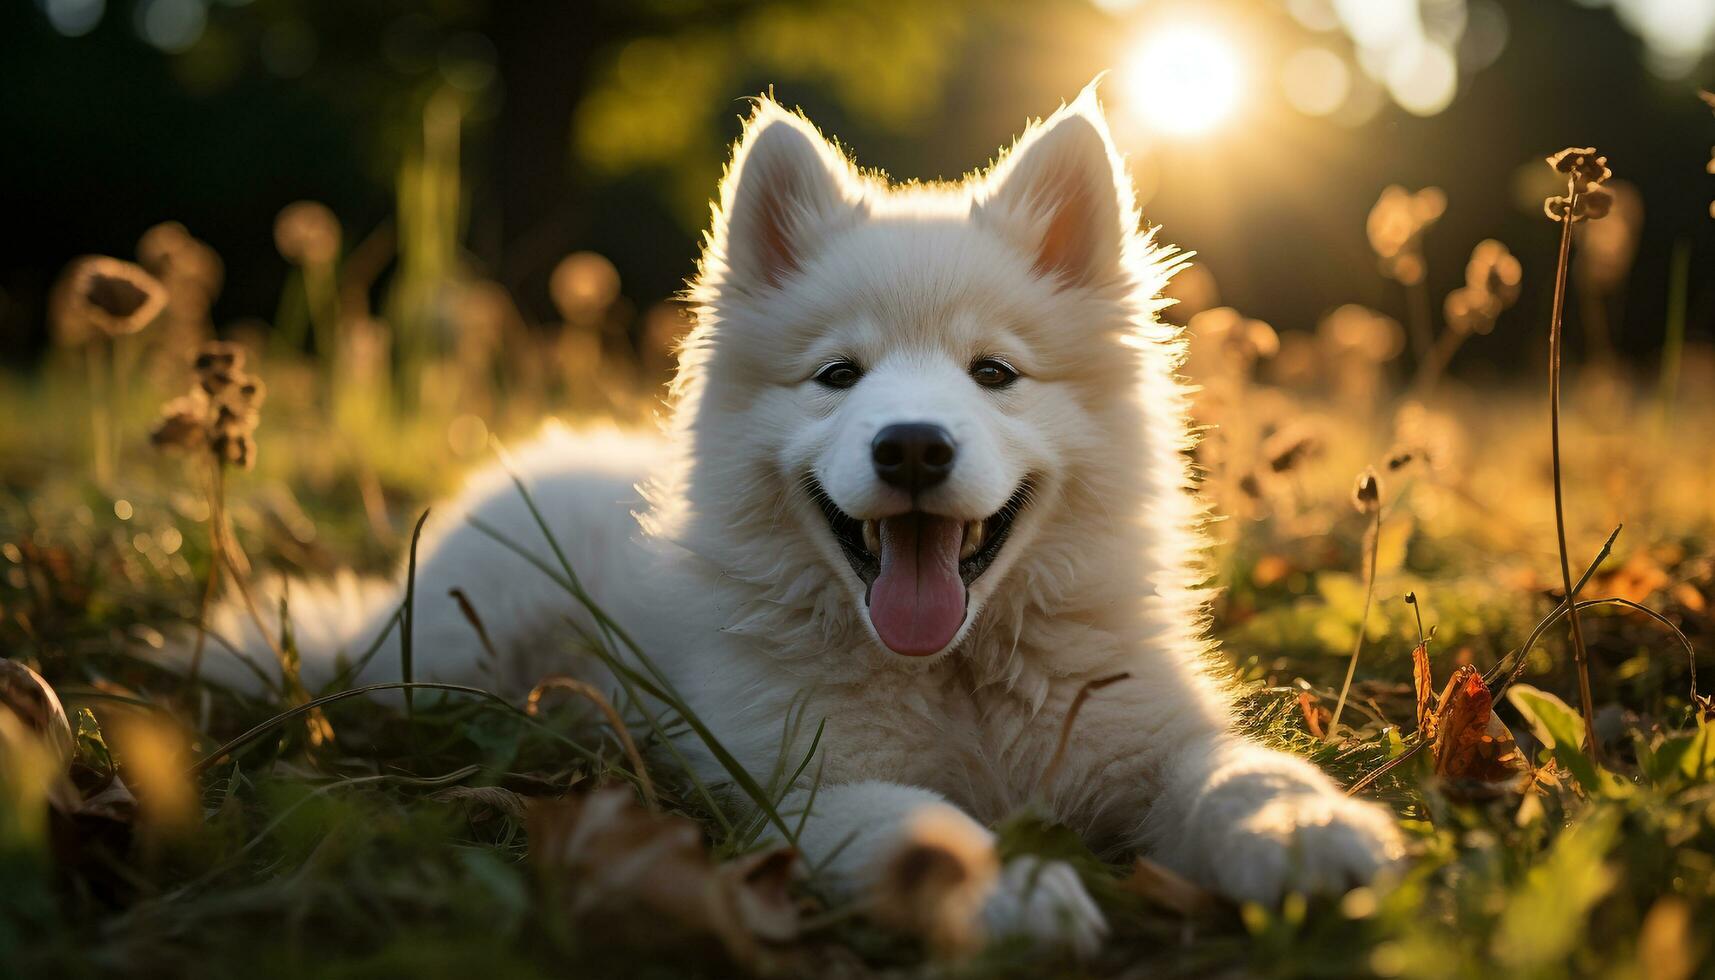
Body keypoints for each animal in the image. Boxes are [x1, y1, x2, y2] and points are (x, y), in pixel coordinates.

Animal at [204, 90, 1406, 954]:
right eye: (838, 375)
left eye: (993, 373)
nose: (912, 446)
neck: (956, 675)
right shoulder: (798, 780)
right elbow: (916, 825)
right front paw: (1008, 890)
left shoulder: (1147, 735)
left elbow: (1236, 767)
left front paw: (1301, 829)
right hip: (452, 658)